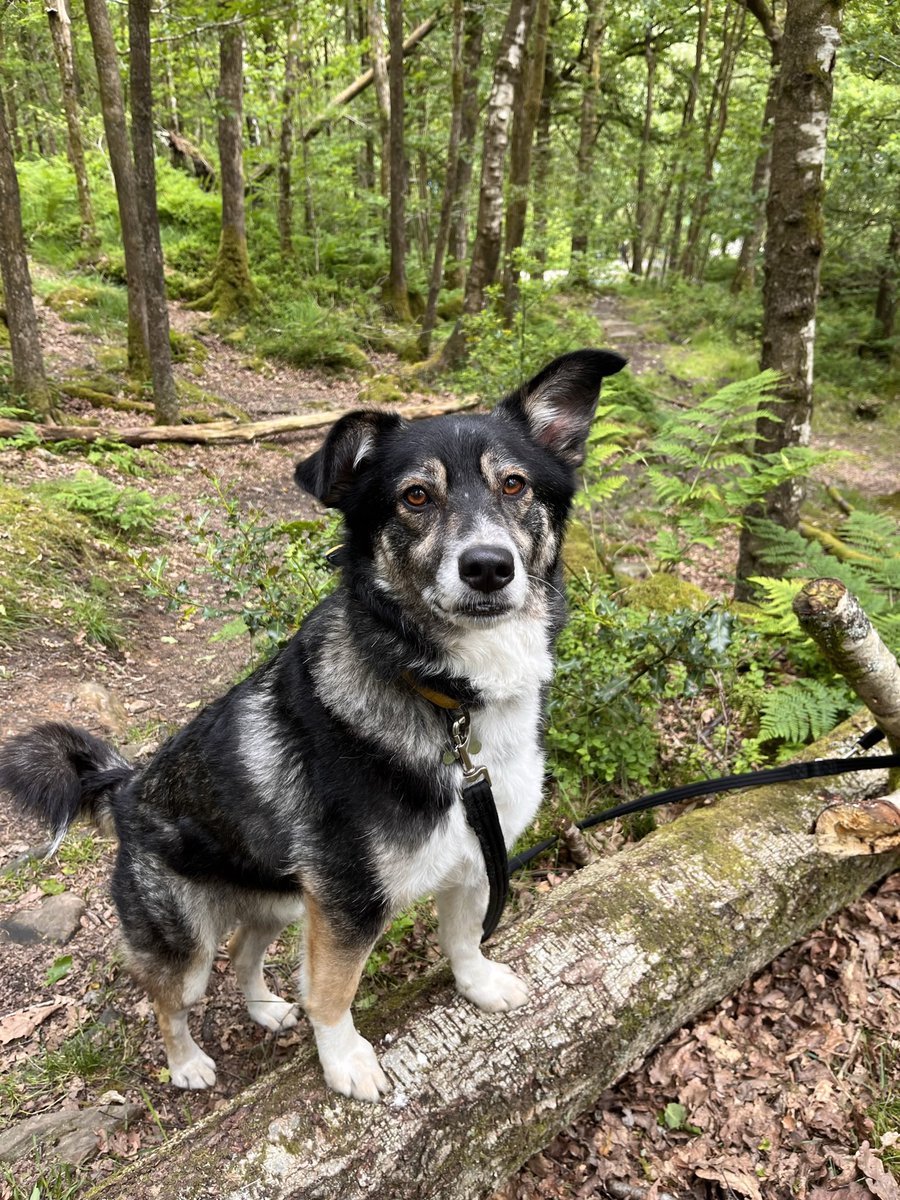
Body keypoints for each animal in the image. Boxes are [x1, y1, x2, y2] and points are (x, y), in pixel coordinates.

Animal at [0, 345, 628, 1099]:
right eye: (416, 497)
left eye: (513, 484)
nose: (487, 567)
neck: (450, 699)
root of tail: (124, 787)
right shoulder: (349, 904)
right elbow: (333, 989)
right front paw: (345, 1061)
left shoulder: (474, 860)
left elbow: (463, 938)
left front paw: (478, 984)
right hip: (186, 939)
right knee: (170, 998)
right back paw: (186, 1064)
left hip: (282, 901)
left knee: (246, 949)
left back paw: (266, 1007)